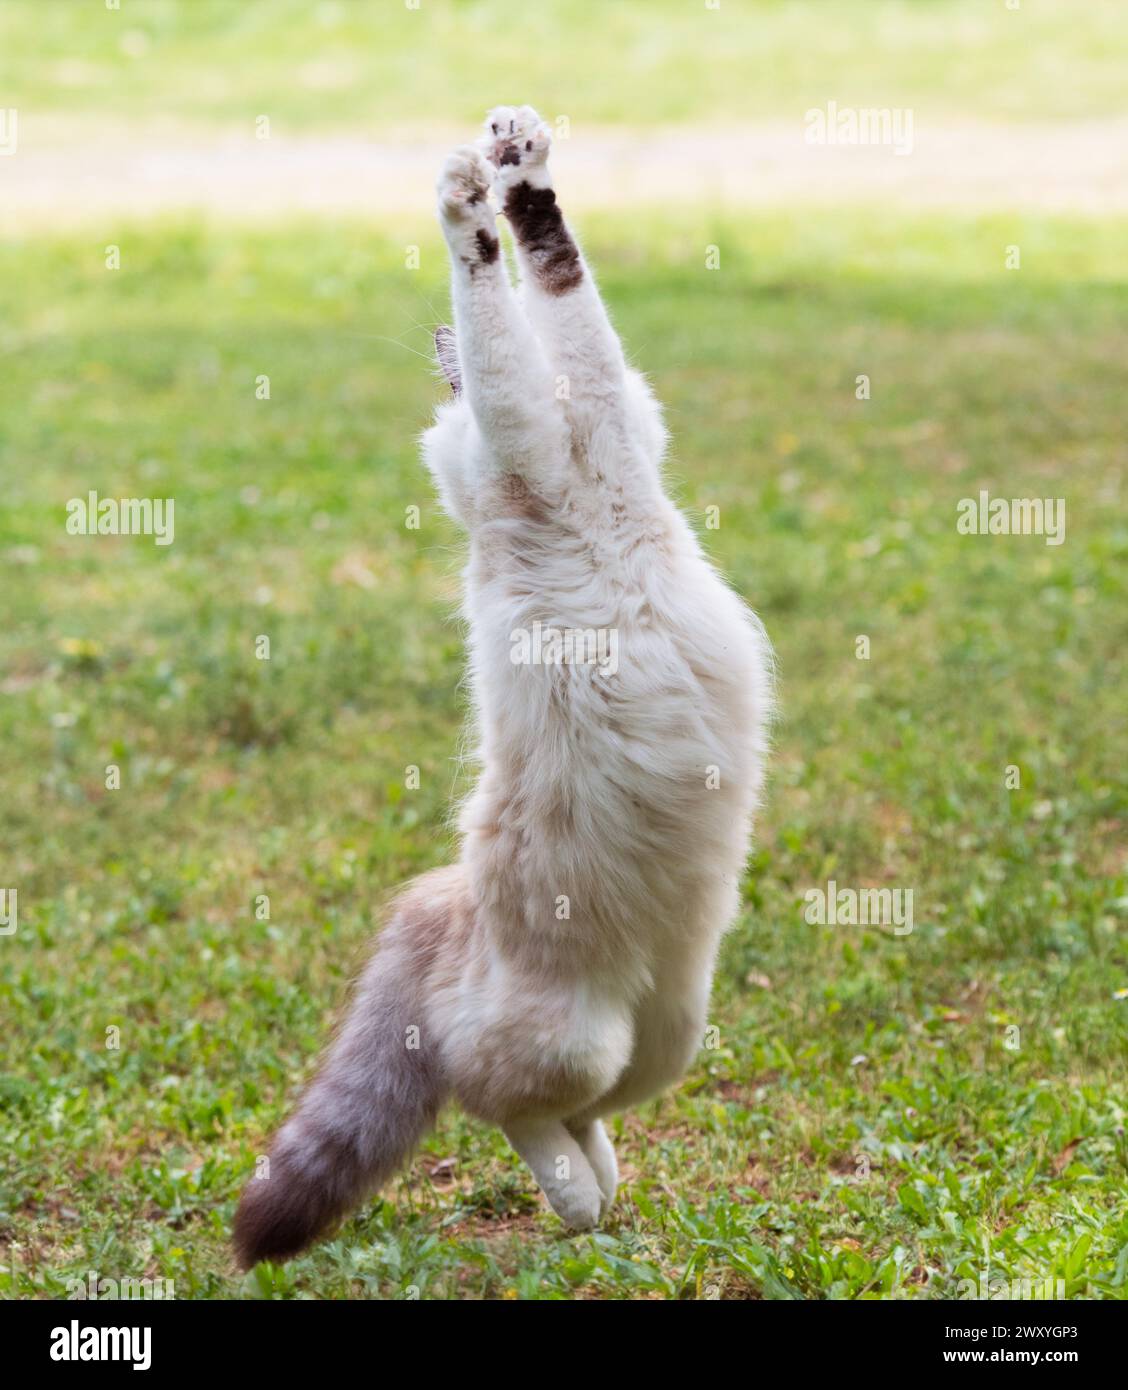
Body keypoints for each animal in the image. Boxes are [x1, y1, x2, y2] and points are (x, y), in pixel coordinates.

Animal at [233, 102, 772, 1267]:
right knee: (505, 1105)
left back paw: (600, 1192)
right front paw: (465, 203)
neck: (588, 503)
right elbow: (502, 316)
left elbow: (555, 284)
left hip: (670, 1032)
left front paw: (517, 168)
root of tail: (446, 909)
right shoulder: (534, 434)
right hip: (576, 1033)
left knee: (583, 1110)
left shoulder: (602, 413)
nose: (438, 378)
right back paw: (577, 1203)